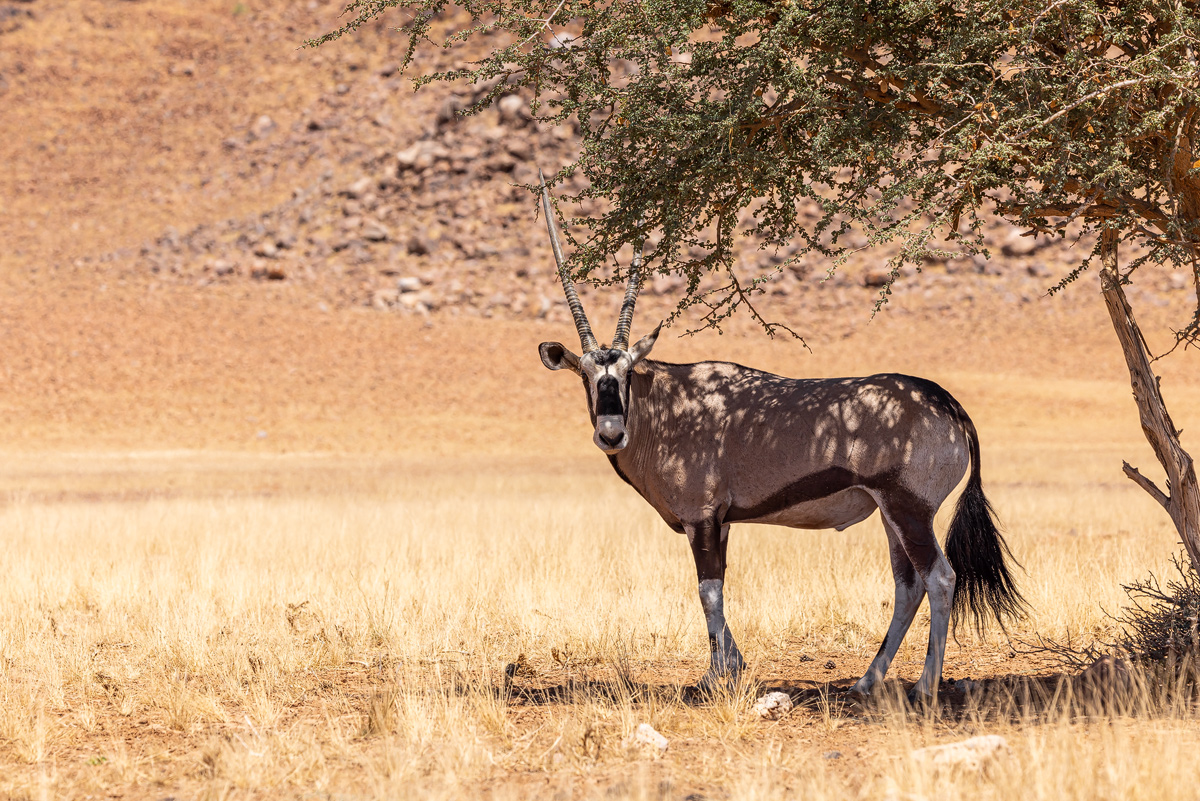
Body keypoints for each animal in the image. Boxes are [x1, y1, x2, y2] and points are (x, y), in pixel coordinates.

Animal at [540, 176, 1027, 700]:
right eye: (587, 375)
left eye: (627, 372)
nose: (611, 432)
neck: (667, 406)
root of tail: (948, 405)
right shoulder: (720, 523)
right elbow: (719, 588)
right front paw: (733, 666)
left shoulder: (702, 518)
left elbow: (707, 590)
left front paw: (715, 678)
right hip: (892, 513)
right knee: (909, 585)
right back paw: (867, 680)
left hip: (908, 508)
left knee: (939, 577)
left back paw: (925, 684)